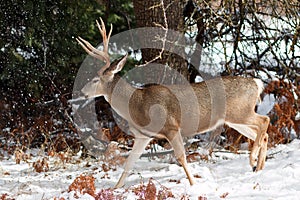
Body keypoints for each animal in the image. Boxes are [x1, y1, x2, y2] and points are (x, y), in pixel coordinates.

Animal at [77, 18, 270, 188]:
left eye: (95, 80)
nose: (81, 91)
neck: (138, 104)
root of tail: (256, 83)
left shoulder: (171, 127)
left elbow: (181, 157)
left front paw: (193, 184)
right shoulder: (143, 136)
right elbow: (129, 162)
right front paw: (115, 188)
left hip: (240, 111)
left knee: (264, 121)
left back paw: (253, 160)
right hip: (234, 118)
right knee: (262, 133)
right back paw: (258, 167)